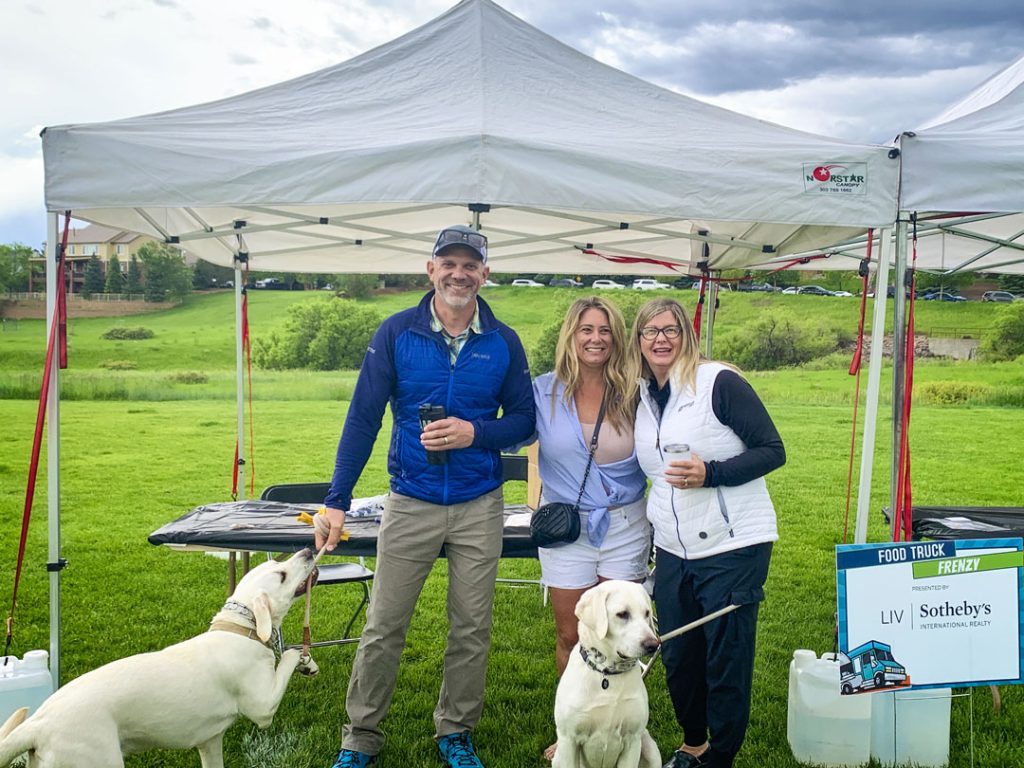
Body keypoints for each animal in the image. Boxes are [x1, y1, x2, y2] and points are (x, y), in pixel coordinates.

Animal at [0, 548, 319, 768]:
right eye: (281, 575)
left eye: (278, 566)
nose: (307, 550)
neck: (240, 629)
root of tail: (38, 724)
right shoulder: (263, 708)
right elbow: (287, 657)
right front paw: (300, 657)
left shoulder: (210, 741)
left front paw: (309, 664)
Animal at [557, 581, 659, 768]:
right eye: (622, 614)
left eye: (647, 613)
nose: (653, 645)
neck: (608, 674)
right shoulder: (569, 739)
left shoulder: (632, 740)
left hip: (650, 747)